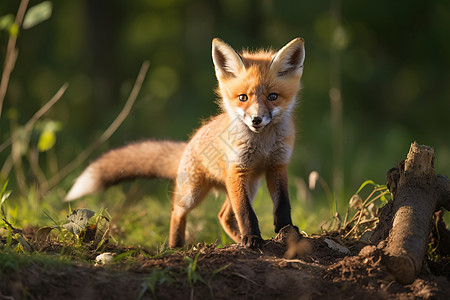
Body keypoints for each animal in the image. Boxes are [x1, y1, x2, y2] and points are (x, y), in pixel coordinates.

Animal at [66, 37, 306, 248]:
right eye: (243, 98)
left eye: (273, 96)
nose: (256, 119)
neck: (263, 144)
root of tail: (190, 143)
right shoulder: (236, 171)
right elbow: (246, 212)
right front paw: (253, 238)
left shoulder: (277, 165)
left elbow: (282, 204)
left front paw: (287, 232)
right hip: (194, 192)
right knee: (178, 211)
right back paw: (176, 247)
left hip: (251, 184)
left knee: (224, 217)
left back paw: (237, 239)